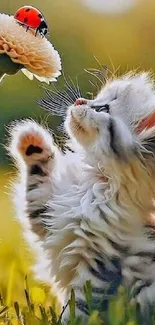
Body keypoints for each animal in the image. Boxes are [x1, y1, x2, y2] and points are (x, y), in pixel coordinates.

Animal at [7, 71, 155, 322]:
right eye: (96, 99)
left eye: (103, 108)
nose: (78, 102)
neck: (93, 182)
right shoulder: (45, 212)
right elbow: (36, 183)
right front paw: (30, 139)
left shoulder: (99, 267)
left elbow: (80, 309)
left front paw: (66, 321)